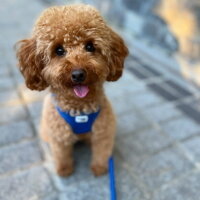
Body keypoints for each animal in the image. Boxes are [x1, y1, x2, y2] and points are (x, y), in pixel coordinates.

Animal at [16, 4, 128, 177]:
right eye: (59, 50)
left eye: (90, 46)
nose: (78, 74)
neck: (79, 109)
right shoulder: (59, 137)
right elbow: (61, 155)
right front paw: (64, 170)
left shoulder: (103, 134)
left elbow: (102, 152)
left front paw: (99, 168)